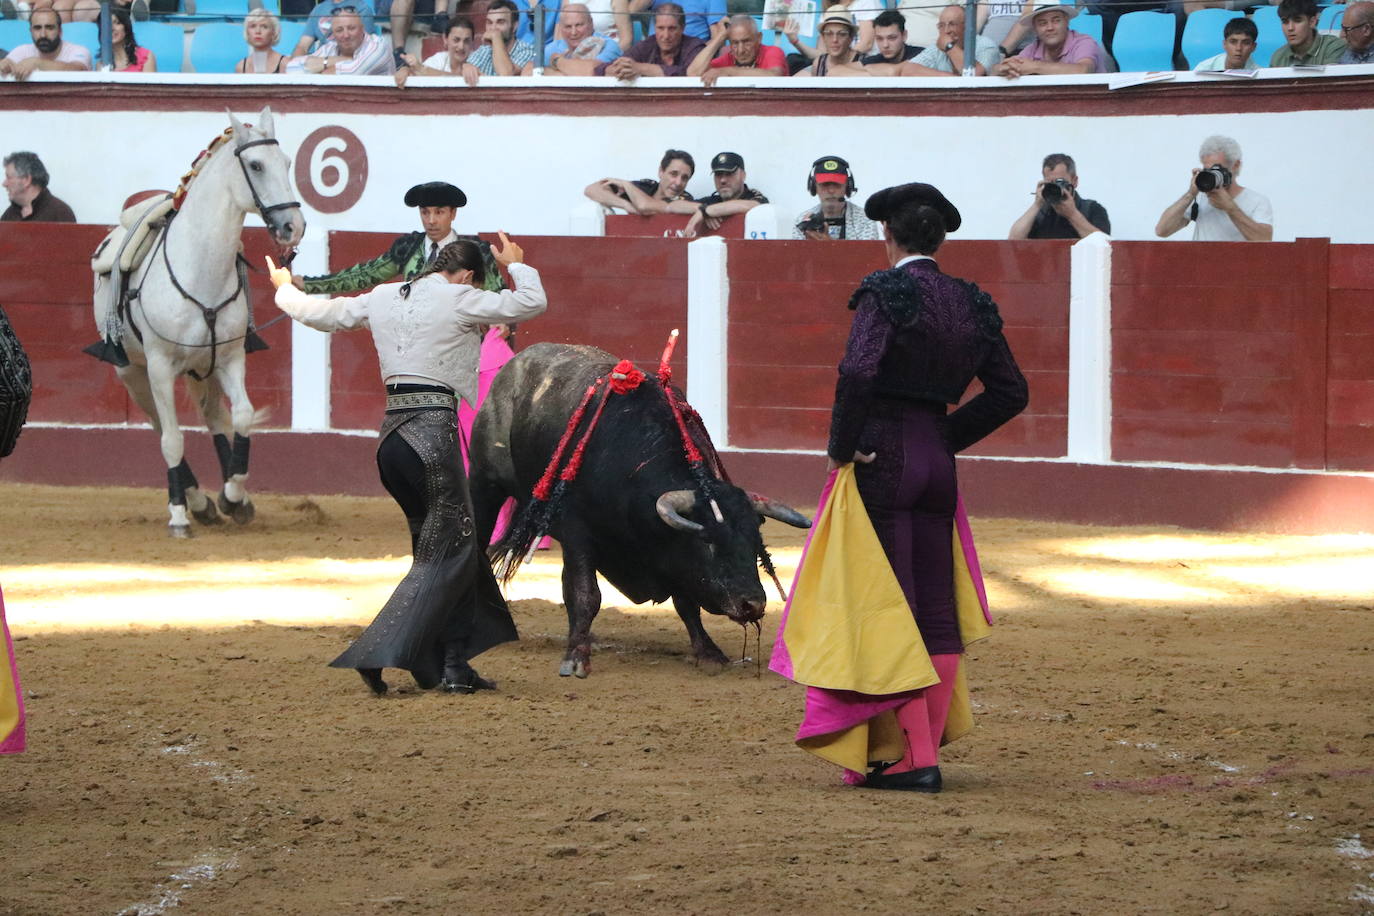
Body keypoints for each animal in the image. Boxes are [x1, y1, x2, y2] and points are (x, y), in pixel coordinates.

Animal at [93, 107, 306, 538]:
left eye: (287, 162)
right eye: (256, 165)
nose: (294, 226)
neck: (202, 267)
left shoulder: (229, 359)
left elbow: (241, 416)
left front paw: (234, 495)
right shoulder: (159, 366)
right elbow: (173, 440)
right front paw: (179, 516)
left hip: (200, 368)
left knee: (214, 419)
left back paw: (225, 502)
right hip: (132, 373)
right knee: (161, 428)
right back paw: (194, 502)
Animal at [472, 340, 813, 678]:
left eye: (756, 544)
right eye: (707, 542)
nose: (752, 604)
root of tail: (515, 364)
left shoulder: (673, 553)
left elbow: (686, 601)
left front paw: (708, 651)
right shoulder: (576, 534)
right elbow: (584, 594)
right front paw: (576, 657)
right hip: (485, 481)